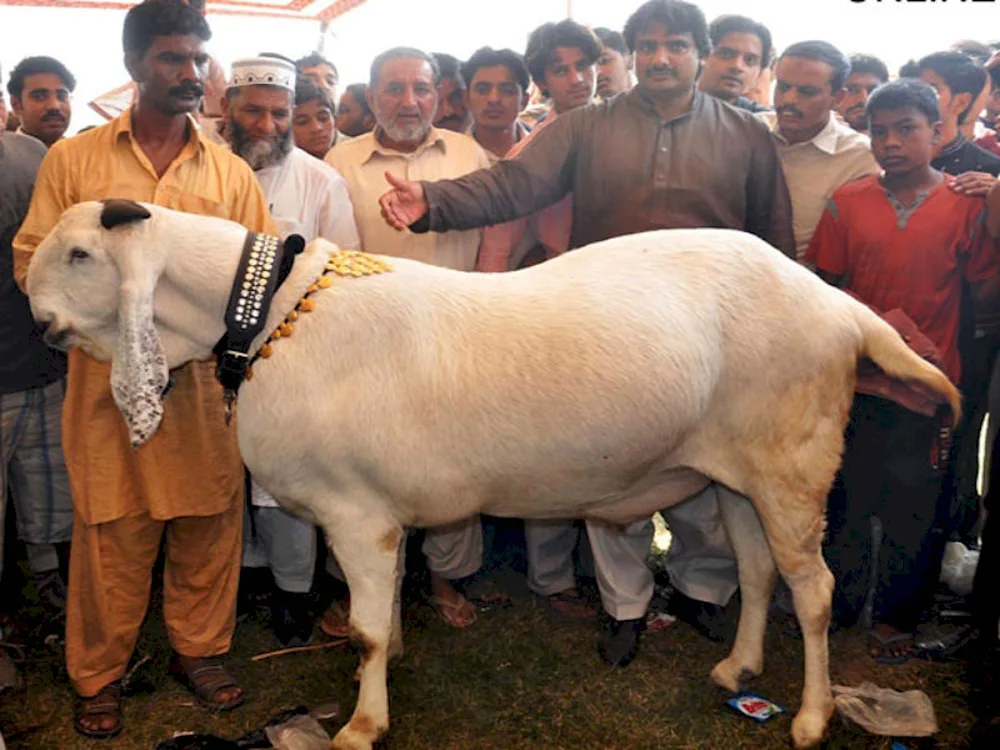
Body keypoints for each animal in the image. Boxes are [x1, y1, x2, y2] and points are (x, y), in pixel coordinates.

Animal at [27, 201, 956, 750]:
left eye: (77, 254)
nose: (36, 321)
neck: (275, 313)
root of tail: (843, 309)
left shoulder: (354, 511)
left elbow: (363, 630)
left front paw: (362, 724)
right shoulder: (381, 517)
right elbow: (382, 615)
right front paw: (382, 672)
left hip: (796, 465)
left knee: (816, 590)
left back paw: (812, 716)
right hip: (737, 473)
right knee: (762, 575)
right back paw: (737, 671)